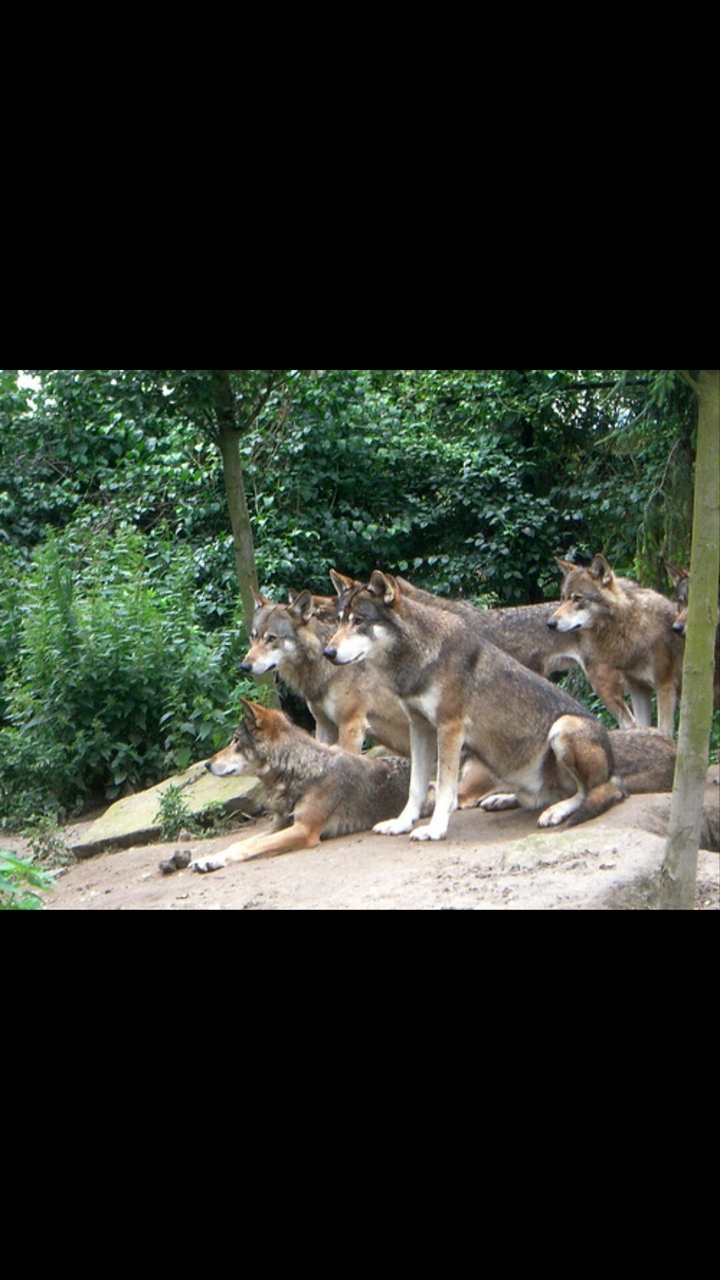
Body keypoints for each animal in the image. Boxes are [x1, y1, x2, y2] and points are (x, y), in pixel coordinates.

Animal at [190, 700, 414, 870]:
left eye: (236, 740)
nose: (207, 764)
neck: (299, 770)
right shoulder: (279, 826)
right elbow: (237, 844)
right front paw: (207, 860)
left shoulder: (303, 830)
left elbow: (246, 847)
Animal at [324, 571, 626, 841]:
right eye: (339, 622)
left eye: (359, 621)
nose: (328, 653)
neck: (419, 660)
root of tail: (615, 772)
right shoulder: (419, 728)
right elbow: (416, 787)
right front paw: (401, 824)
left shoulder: (450, 729)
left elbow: (445, 790)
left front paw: (434, 830)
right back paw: (505, 799)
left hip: (564, 727)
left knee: (589, 792)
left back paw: (556, 810)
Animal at [548, 555, 684, 737]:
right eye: (562, 598)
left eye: (577, 598)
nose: (550, 623)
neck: (629, 626)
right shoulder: (638, 689)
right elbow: (641, 727)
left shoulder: (665, 687)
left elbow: (664, 730)